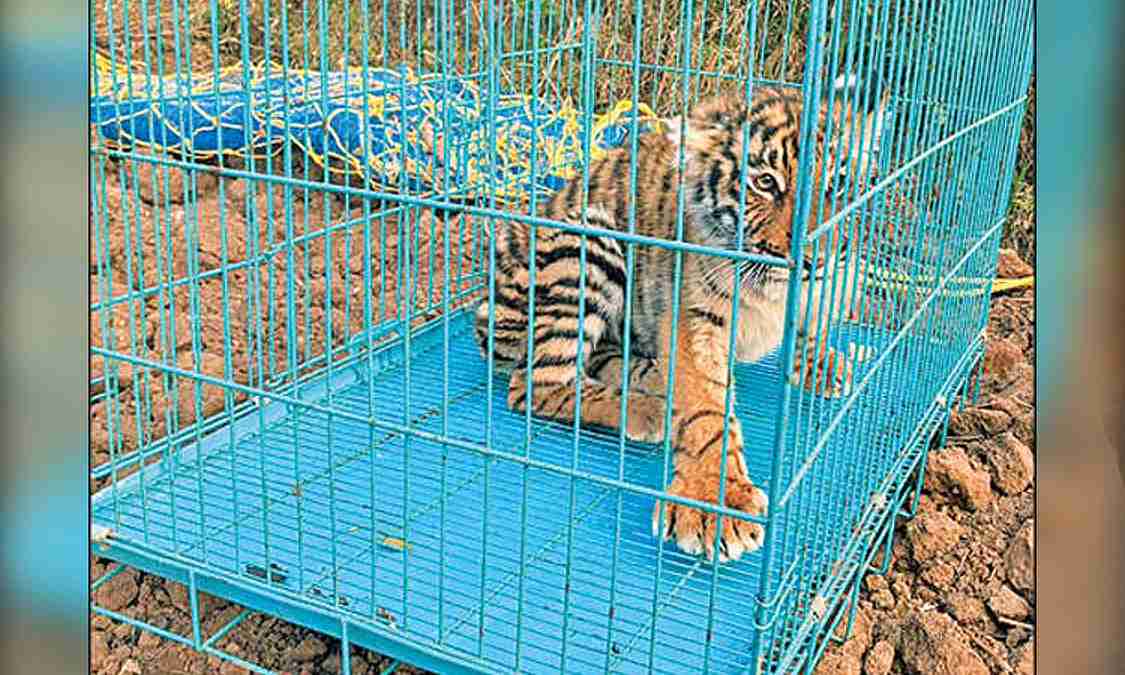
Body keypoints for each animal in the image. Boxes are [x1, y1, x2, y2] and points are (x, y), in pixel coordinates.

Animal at [473, 83, 889, 562]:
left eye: (838, 183)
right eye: (765, 182)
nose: (816, 260)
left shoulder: (833, 282)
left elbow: (811, 323)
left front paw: (823, 365)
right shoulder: (696, 317)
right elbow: (707, 410)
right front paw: (713, 504)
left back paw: (654, 381)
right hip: (589, 241)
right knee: (535, 384)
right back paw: (649, 411)